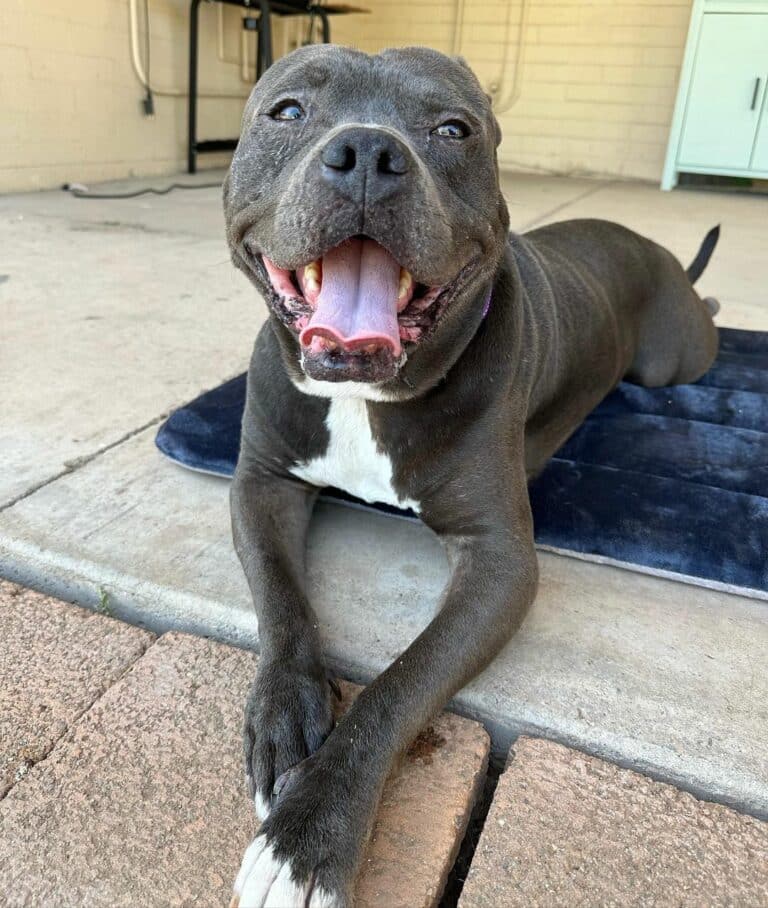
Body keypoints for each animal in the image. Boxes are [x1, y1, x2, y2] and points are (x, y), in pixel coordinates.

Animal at [222, 44, 720, 908]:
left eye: (452, 129)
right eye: (286, 111)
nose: (367, 152)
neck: (368, 396)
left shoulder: (499, 561)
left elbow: (399, 686)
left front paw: (307, 838)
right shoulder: (262, 485)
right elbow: (282, 605)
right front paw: (286, 716)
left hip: (673, 361)